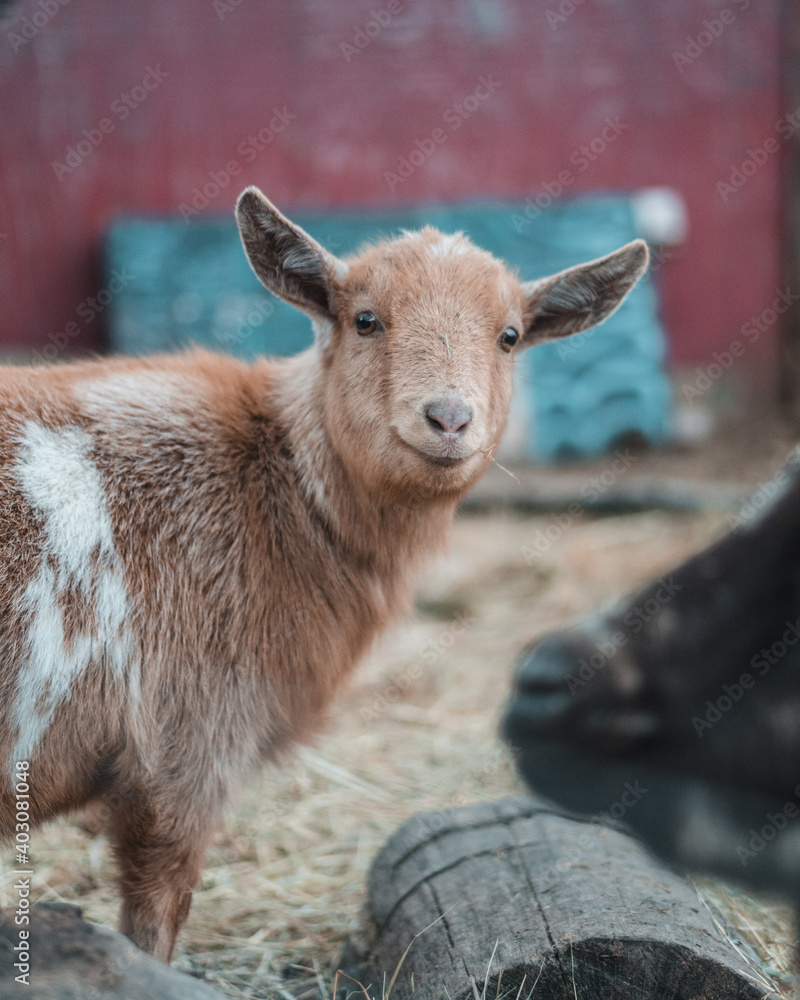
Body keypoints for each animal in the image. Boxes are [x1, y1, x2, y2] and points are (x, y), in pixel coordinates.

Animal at [0, 186, 647, 962]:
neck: (273, 480)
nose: (448, 419)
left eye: (511, 336)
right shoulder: (185, 747)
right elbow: (155, 919)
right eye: (364, 319)